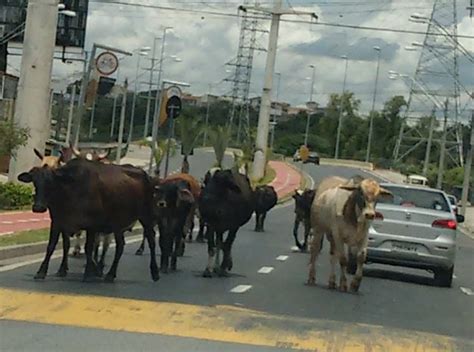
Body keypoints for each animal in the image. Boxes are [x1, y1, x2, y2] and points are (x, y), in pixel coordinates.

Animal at [17, 160, 158, 284]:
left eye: (51, 182)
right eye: (35, 182)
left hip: (146, 216)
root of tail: (145, 174)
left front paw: (89, 273)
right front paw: (43, 272)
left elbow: (89, 248)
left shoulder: (92, 225)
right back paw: (110, 274)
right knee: (120, 245)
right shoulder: (58, 222)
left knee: (150, 240)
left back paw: (154, 272)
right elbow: (54, 246)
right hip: (117, 225)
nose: (38, 207)